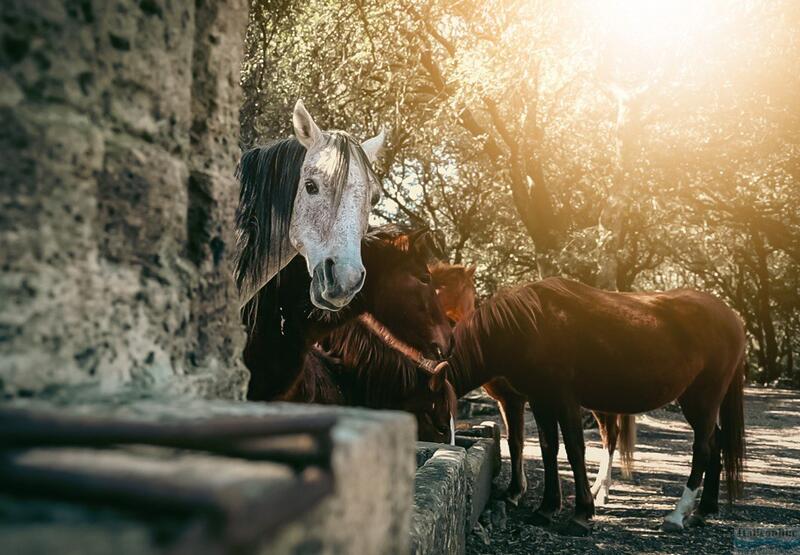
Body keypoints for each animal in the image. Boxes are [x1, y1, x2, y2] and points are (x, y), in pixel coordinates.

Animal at [446, 278, 748, 540]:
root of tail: (732, 317)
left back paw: (676, 515)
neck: (527, 326)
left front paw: (581, 513)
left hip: (701, 399)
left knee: (703, 449)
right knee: (716, 443)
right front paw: (546, 509)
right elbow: (547, 449)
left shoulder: (563, 400)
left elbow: (574, 450)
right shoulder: (540, 400)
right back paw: (702, 511)